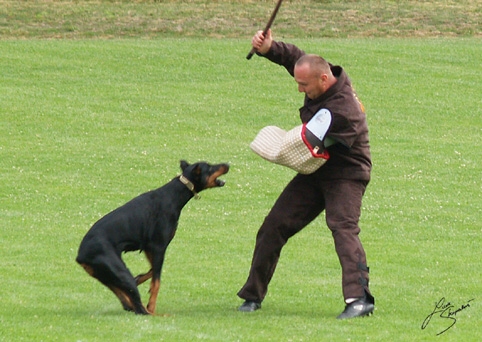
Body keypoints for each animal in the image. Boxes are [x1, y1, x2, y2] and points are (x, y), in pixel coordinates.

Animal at [76, 160, 230, 316]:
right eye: (210, 167)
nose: (227, 164)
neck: (174, 195)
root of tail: (80, 256)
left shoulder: (149, 248)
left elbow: (152, 271)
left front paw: (139, 278)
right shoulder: (158, 246)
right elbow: (156, 282)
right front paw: (151, 304)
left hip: (108, 275)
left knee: (127, 301)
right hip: (120, 270)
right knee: (140, 309)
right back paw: (157, 314)